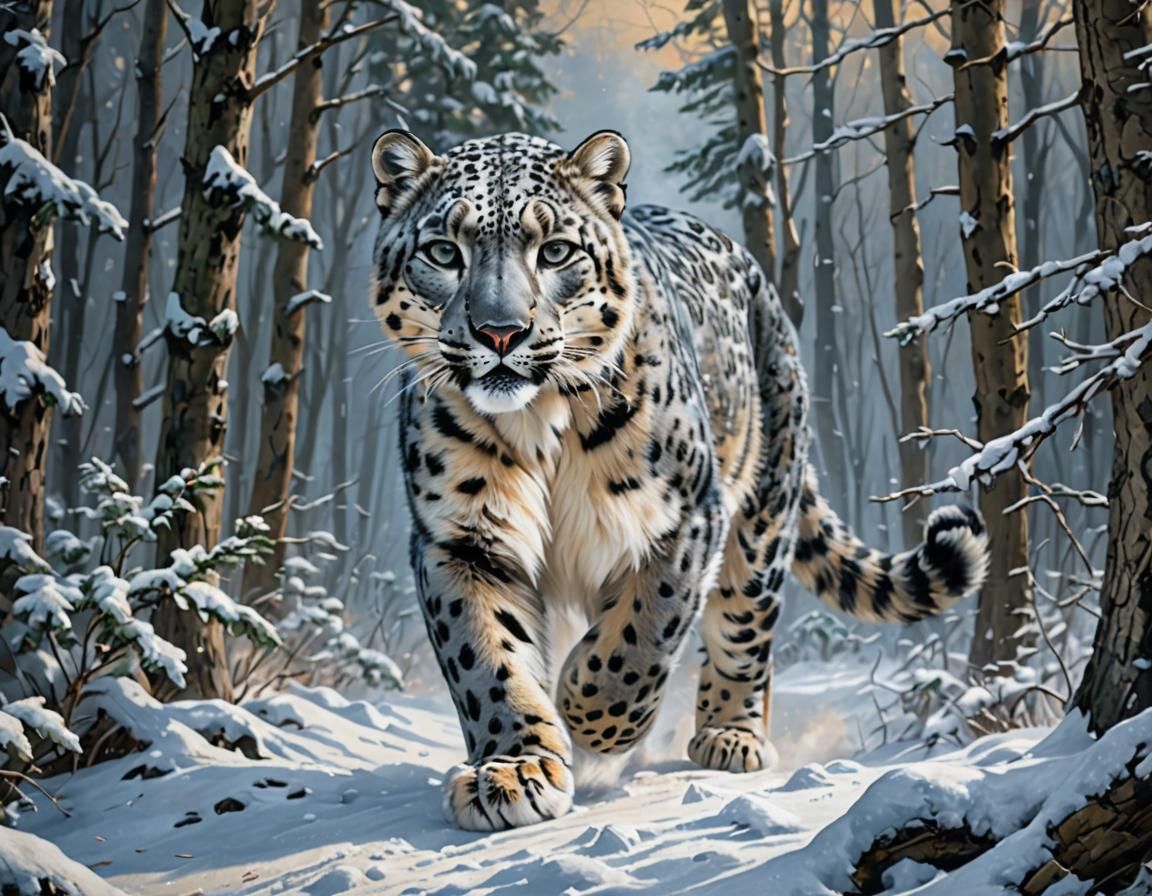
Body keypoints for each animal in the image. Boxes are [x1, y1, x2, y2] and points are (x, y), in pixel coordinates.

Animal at [369, 128, 990, 832]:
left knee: (747, 624)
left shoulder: (686, 515)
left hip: (761, 512)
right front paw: (515, 770)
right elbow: (486, 657)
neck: (539, 427)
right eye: (444, 251)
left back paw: (730, 736)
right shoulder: (461, 537)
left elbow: (642, 632)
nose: (500, 332)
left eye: (555, 251)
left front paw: (590, 714)